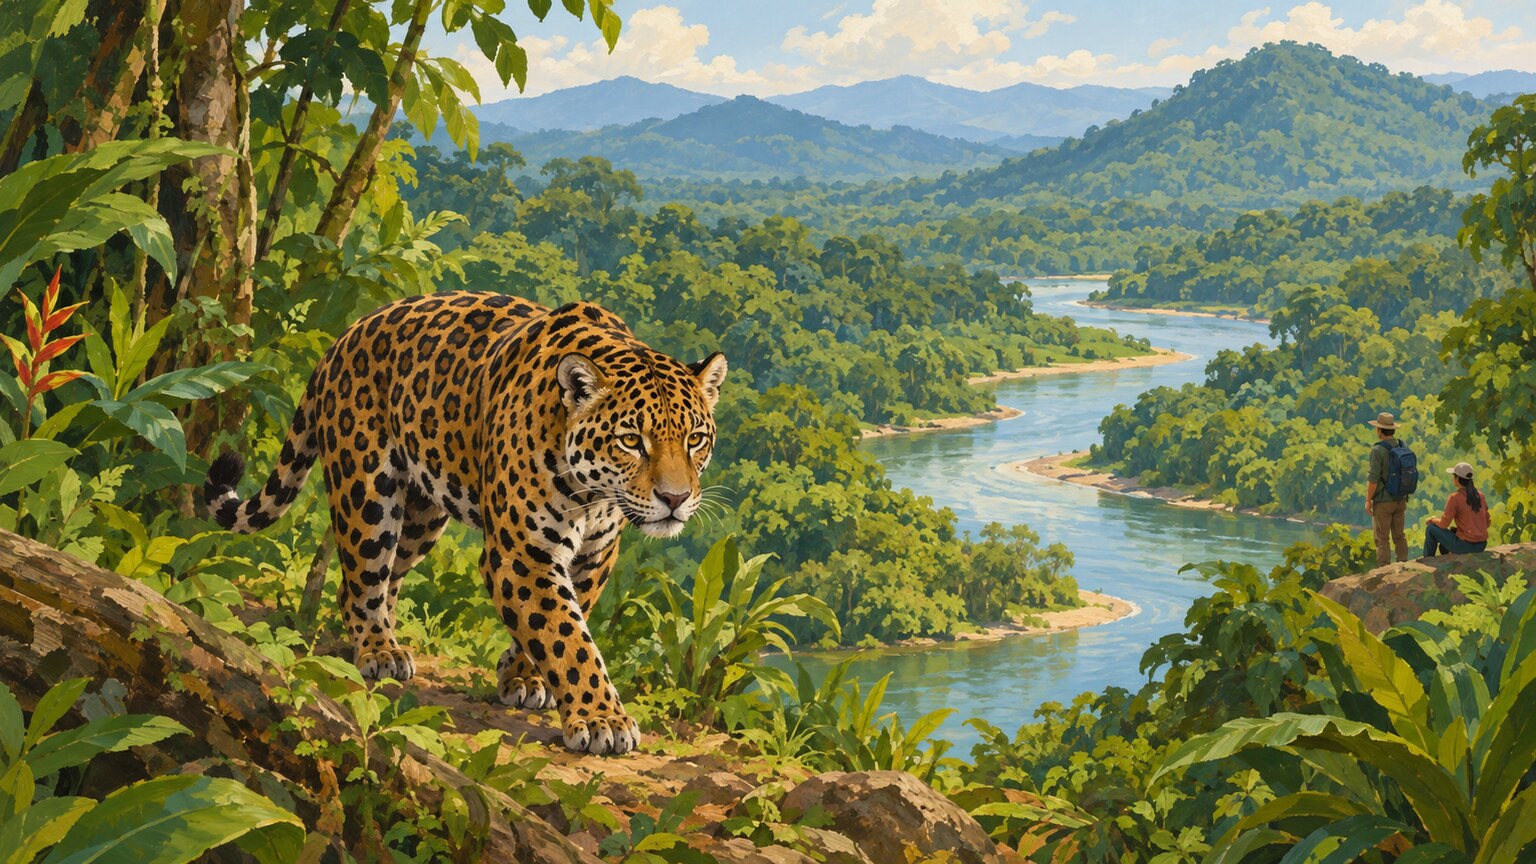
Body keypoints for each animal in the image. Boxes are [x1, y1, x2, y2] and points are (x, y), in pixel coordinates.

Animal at [202, 291, 726, 755]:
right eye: (631, 440)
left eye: (695, 439)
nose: (676, 499)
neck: (592, 496)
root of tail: (345, 335)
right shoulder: (522, 555)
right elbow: (568, 637)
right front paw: (604, 720)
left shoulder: (594, 556)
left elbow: (557, 624)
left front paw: (523, 677)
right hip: (367, 495)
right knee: (364, 577)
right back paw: (379, 651)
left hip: (421, 514)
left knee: (380, 579)